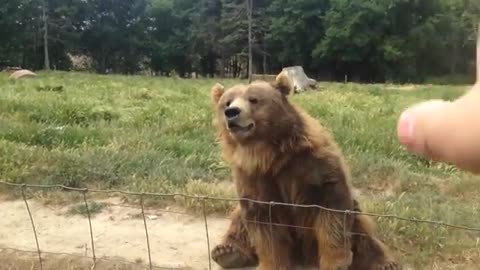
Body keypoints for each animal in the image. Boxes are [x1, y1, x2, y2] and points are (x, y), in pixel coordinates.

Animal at [210, 72, 402, 270]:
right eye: (227, 102)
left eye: (254, 99)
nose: (231, 112)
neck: (269, 155)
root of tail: (304, 257)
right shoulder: (253, 177)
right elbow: (264, 222)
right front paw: (272, 263)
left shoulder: (313, 164)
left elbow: (332, 209)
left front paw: (336, 261)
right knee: (238, 219)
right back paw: (227, 252)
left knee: (362, 229)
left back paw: (384, 263)